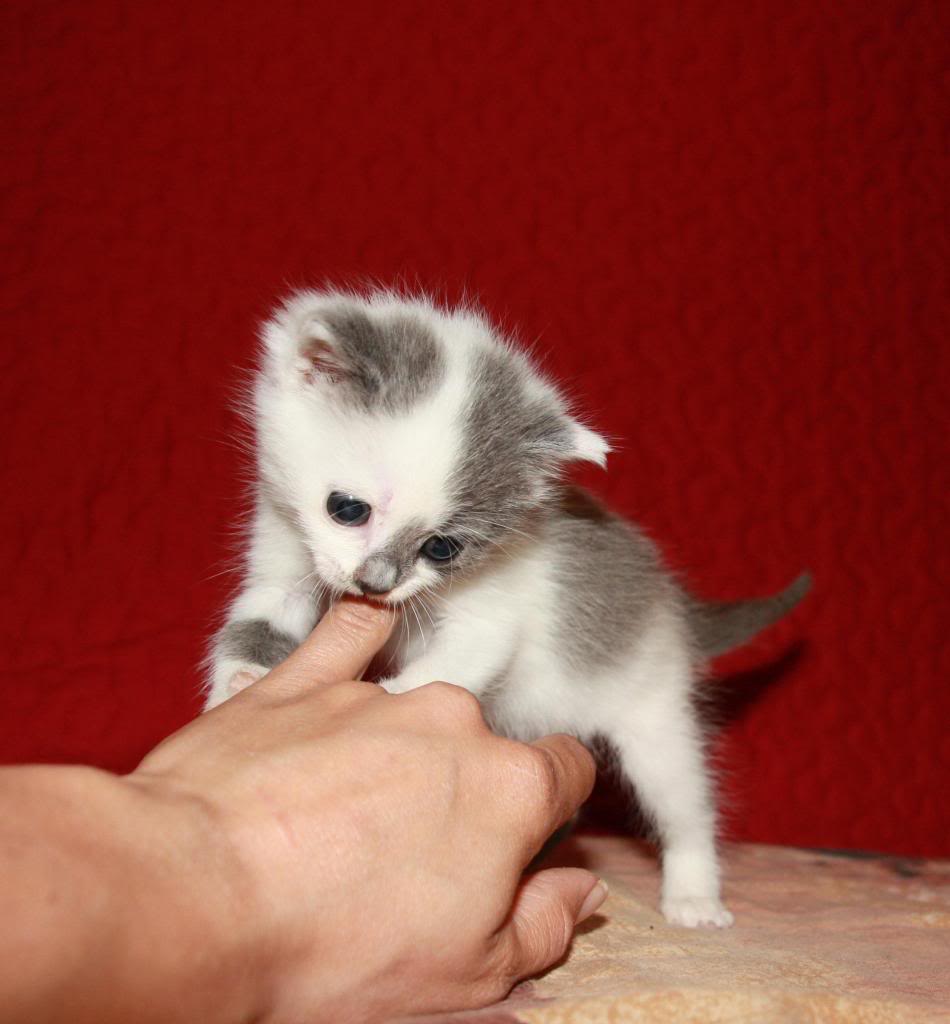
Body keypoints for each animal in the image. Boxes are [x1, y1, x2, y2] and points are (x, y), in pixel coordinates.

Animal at [207, 288, 810, 929]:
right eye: (347, 509)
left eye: (442, 548)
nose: (376, 583)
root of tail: (672, 605)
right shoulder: (281, 554)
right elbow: (258, 620)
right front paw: (237, 689)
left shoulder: (493, 614)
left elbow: (456, 661)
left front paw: (382, 700)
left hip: (653, 707)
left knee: (682, 799)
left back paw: (694, 895)